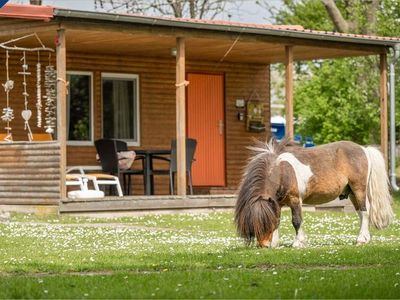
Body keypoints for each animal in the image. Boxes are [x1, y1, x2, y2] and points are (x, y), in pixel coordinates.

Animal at [234, 139, 394, 247]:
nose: (263, 245)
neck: (282, 171)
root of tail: (363, 149)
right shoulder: (276, 203)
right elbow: (277, 220)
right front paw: (275, 243)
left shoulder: (295, 200)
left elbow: (296, 221)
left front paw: (298, 243)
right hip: (352, 193)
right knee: (361, 213)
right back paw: (365, 238)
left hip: (358, 189)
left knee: (365, 212)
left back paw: (361, 240)